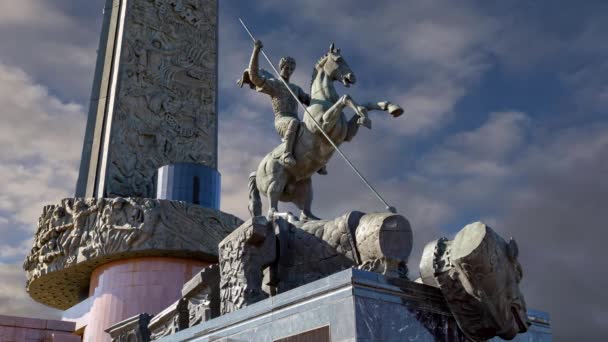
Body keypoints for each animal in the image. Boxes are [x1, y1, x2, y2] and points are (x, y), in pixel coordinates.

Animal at [249, 44, 402, 220]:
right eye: (338, 59)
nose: (352, 77)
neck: (324, 100)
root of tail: (257, 171)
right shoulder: (322, 126)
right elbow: (346, 98)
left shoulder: (347, 134)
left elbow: (365, 104)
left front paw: (390, 108)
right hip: (275, 183)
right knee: (272, 211)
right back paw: (288, 215)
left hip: (305, 186)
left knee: (305, 212)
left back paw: (313, 219)